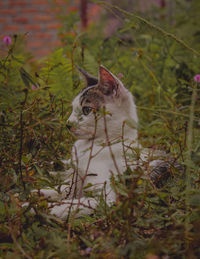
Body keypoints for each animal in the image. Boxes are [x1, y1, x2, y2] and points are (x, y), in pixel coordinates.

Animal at [29, 65, 175, 219]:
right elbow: (64, 189)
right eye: (73, 108)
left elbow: (73, 203)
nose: (68, 124)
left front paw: (38, 208)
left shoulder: (105, 198)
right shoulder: (76, 182)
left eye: (86, 109)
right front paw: (39, 194)